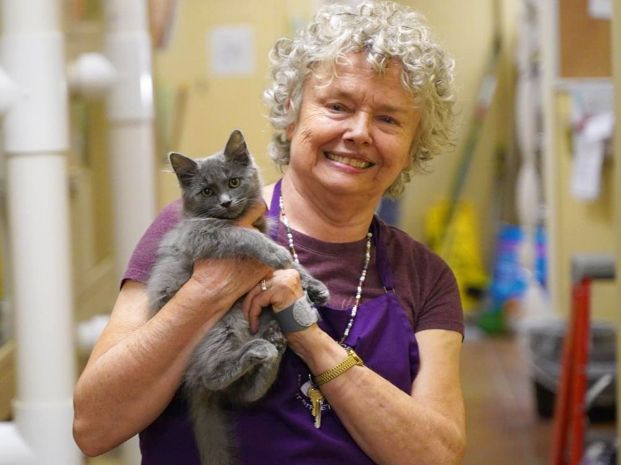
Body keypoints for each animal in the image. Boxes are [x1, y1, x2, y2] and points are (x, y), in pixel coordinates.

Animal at [147, 130, 326, 464]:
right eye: (206, 190)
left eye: (233, 182)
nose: (226, 202)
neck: (237, 217)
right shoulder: (202, 233)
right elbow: (243, 236)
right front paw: (274, 253)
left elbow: (292, 267)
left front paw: (314, 286)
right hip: (220, 326)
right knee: (211, 374)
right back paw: (260, 350)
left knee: (244, 393)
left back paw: (273, 346)